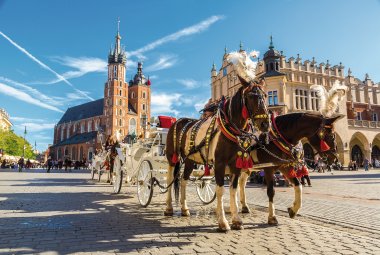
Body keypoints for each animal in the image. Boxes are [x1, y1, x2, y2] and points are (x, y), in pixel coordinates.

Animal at [164, 76, 270, 231]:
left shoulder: (235, 165)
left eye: (266, 95)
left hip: (189, 160)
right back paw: (169, 208)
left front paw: (236, 219)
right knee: (170, 179)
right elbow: (220, 190)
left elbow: (233, 190)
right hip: (172, 157)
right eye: (251, 96)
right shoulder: (220, 163)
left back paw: (184, 209)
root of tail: (179, 121)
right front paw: (223, 222)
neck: (230, 128)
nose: (265, 124)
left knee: (183, 180)